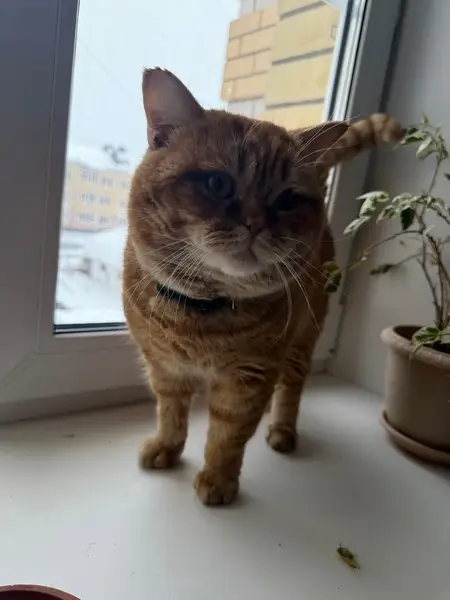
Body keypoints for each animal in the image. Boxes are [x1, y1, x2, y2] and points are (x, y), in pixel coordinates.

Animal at [123, 68, 403, 506]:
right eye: (218, 184)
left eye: (287, 199)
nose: (256, 224)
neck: (204, 307)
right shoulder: (164, 368)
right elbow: (170, 414)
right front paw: (166, 447)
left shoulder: (249, 376)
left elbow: (228, 434)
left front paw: (218, 481)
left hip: (303, 342)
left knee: (291, 390)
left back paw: (283, 431)